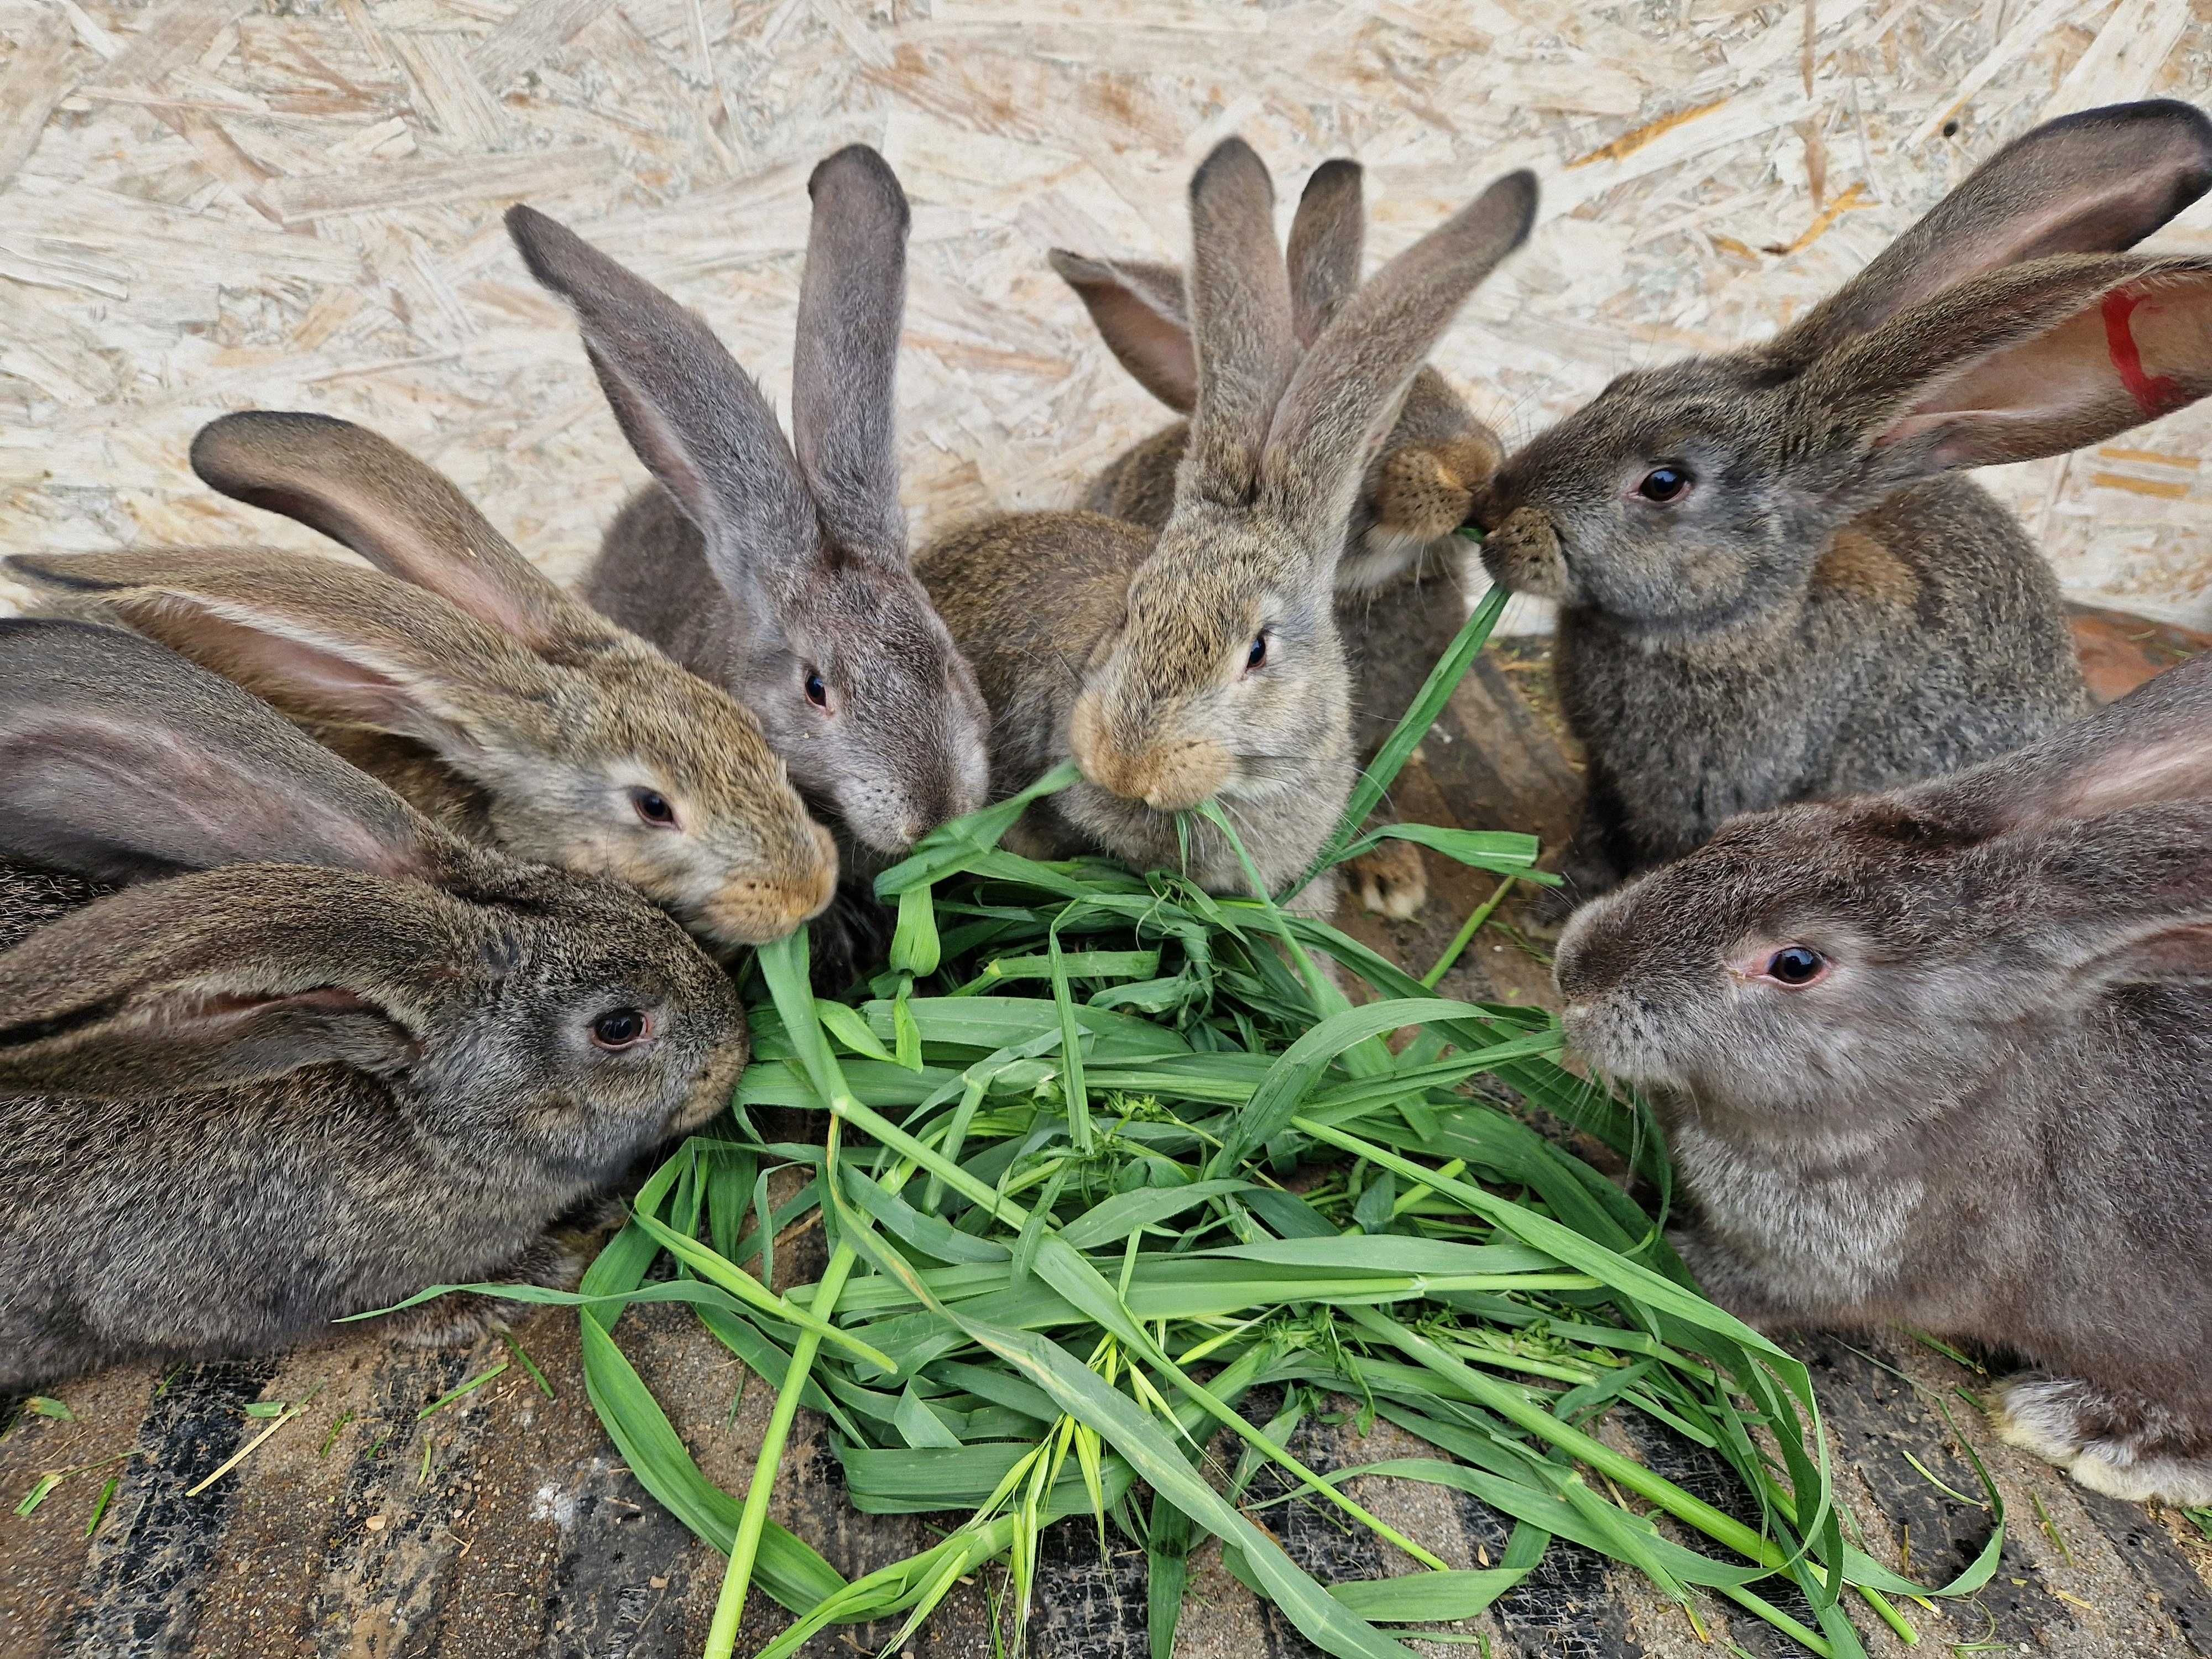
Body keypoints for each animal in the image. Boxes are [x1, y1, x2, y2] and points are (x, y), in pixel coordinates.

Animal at [1478, 94, 2212, 925]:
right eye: (1615, 387)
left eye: (1663, 483)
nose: (1491, 511)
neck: (1731, 627)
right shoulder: (1604, 781)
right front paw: (1544, 900)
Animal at [1548, 641, 2212, 1513]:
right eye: (1737, 832)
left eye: (1796, 964)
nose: (1573, 976)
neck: (1939, 1092)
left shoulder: (1827, 1268)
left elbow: (1723, 1284)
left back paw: (2083, 1430)